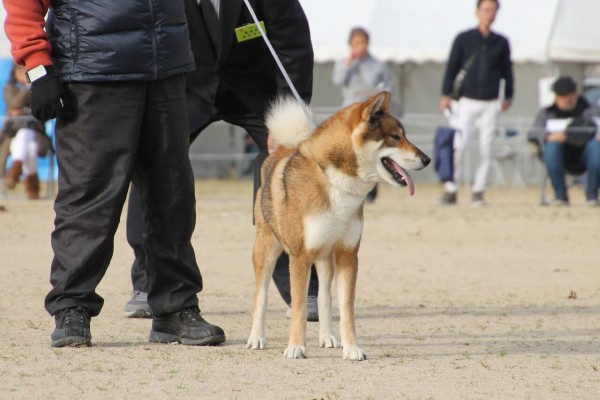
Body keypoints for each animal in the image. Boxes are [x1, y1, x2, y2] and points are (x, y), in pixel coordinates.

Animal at [246, 92, 428, 360]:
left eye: (403, 135)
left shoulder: (348, 255)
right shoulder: (300, 257)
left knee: (324, 297)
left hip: (324, 259)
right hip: (267, 249)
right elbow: (298, 308)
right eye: (395, 137)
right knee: (261, 295)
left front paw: (351, 348)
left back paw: (328, 336)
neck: (336, 182)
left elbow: (345, 310)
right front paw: (296, 347)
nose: (427, 159)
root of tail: (282, 150)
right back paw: (256, 338)